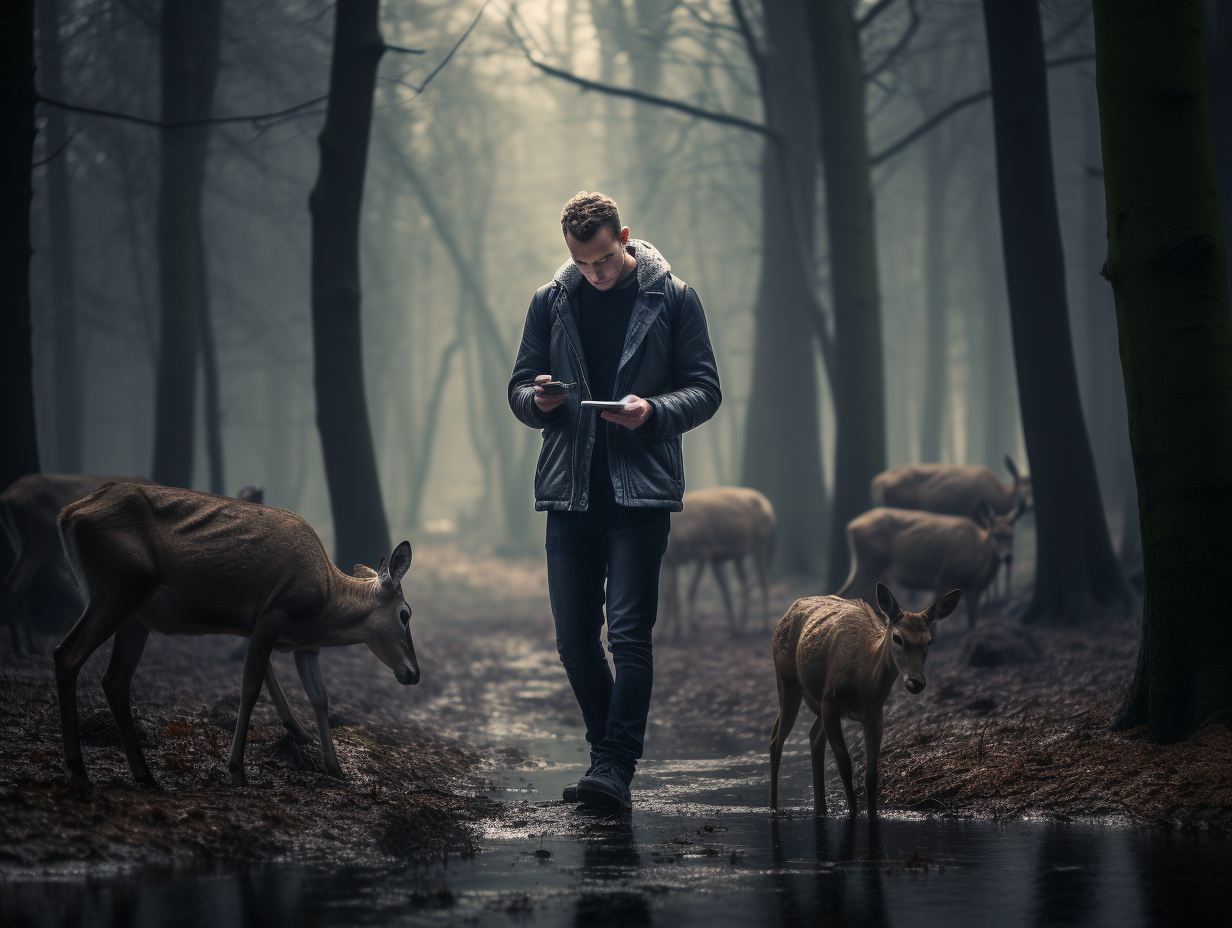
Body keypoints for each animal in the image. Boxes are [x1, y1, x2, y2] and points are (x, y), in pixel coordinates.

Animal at [54, 480, 418, 783]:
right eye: (405, 614)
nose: (413, 673)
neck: (325, 603)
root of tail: (68, 515)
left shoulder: (305, 644)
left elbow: (320, 696)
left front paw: (335, 767)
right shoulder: (274, 612)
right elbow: (250, 686)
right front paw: (237, 769)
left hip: (136, 611)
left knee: (114, 678)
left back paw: (144, 776)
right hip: (118, 589)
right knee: (67, 654)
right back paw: (78, 767)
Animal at [660, 485, 773, 635]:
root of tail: (770, 509)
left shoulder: (703, 551)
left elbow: (690, 590)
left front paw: (693, 625)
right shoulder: (673, 561)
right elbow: (669, 593)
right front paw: (674, 629)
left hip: (761, 543)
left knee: (764, 581)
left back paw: (764, 627)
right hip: (738, 555)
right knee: (745, 584)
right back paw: (739, 627)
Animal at [768, 581, 960, 813]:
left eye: (928, 641)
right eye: (897, 637)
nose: (917, 682)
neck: (863, 685)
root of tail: (790, 610)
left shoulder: (875, 714)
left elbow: (871, 775)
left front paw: (870, 813)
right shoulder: (830, 701)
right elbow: (845, 763)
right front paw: (852, 812)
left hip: (812, 700)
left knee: (813, 735)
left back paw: (820, 808)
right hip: (786, 682)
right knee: (776, 739)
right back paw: (773, 807)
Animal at [837, 500, 1020, 630]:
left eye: (1012, 535)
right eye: (995, 534)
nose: (1008, 557)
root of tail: (850, 526)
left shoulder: (974, 592)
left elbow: (972, 624)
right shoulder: (944, 577)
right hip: (870, 564)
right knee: (845, 593)